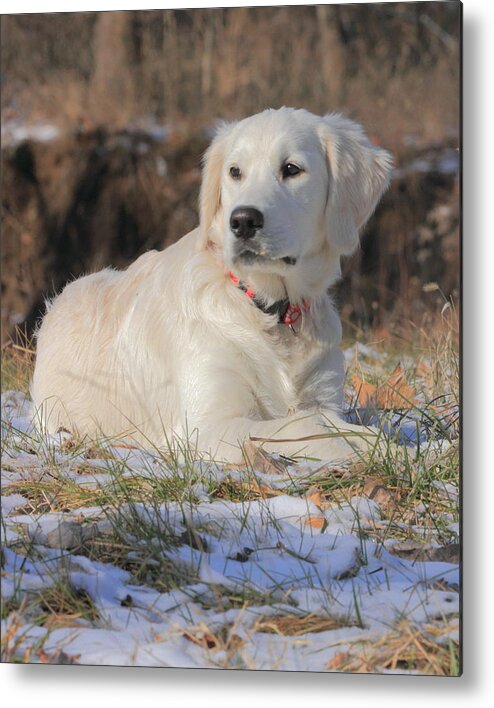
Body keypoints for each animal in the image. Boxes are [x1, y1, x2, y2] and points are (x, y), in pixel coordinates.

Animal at [31, 109, 394, 464]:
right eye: (235, 172)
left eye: (292, 169)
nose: (243, 220)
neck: (268, 308)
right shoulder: (205, 427)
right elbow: (302, 426)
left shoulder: (323, 395)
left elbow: (332, 422)